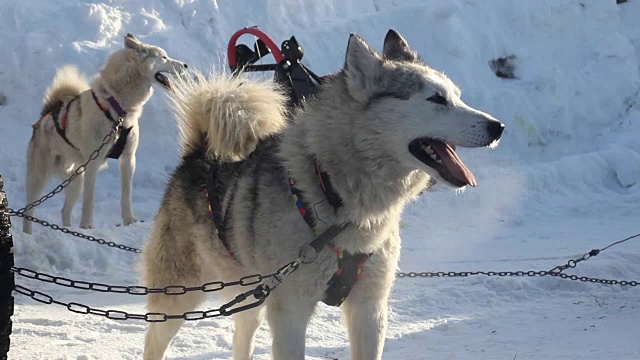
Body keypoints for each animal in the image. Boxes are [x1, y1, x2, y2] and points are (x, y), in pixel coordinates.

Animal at [23, 33, 189, 233]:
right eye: (164, 57)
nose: (186, 65)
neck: (118, 109)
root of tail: (44, 117)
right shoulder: (93, 164)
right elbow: (89, 200)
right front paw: (87, 226)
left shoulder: (128, 159)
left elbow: (126, 196)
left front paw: (129, 221)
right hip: (39, 179)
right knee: (29, 210)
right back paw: (28, 234)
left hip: (75, 181)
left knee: (64, 211)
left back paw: (69, 230)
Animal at [141, 29, 504, 358]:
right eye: (436, 99)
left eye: (457, 96)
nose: (498, 126)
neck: (335, 198)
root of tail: (199, 154)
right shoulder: (290, 313)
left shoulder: (370, 309)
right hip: (179, 298)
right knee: (153, 342)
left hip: (252, 296)